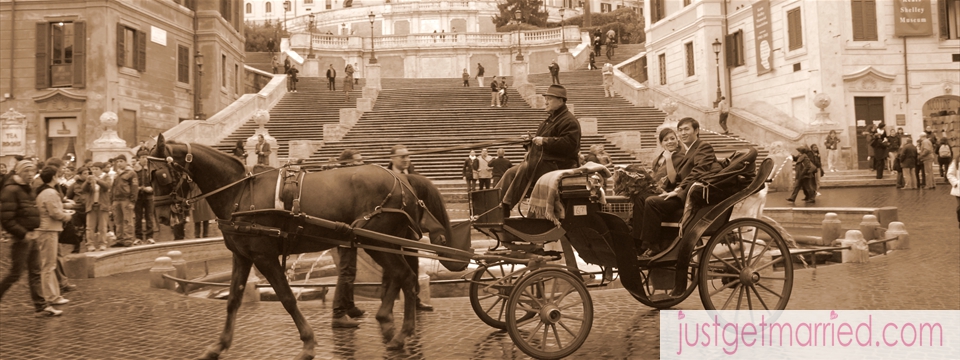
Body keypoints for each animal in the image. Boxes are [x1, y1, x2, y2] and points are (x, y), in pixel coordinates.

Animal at [146, 134, 468, 358]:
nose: (160, 216)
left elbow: (288, 298)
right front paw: (219, 345)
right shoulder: (243, 256)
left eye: (159, 175)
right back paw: (392, 325)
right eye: (149, 176)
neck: (239, 190)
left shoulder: (264, 255)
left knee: (404, 276)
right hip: (383, 241)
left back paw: (399, 332)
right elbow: (233, 300)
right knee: (403, 277)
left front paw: (309, 343)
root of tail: (403, 181)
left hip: (375, 239)